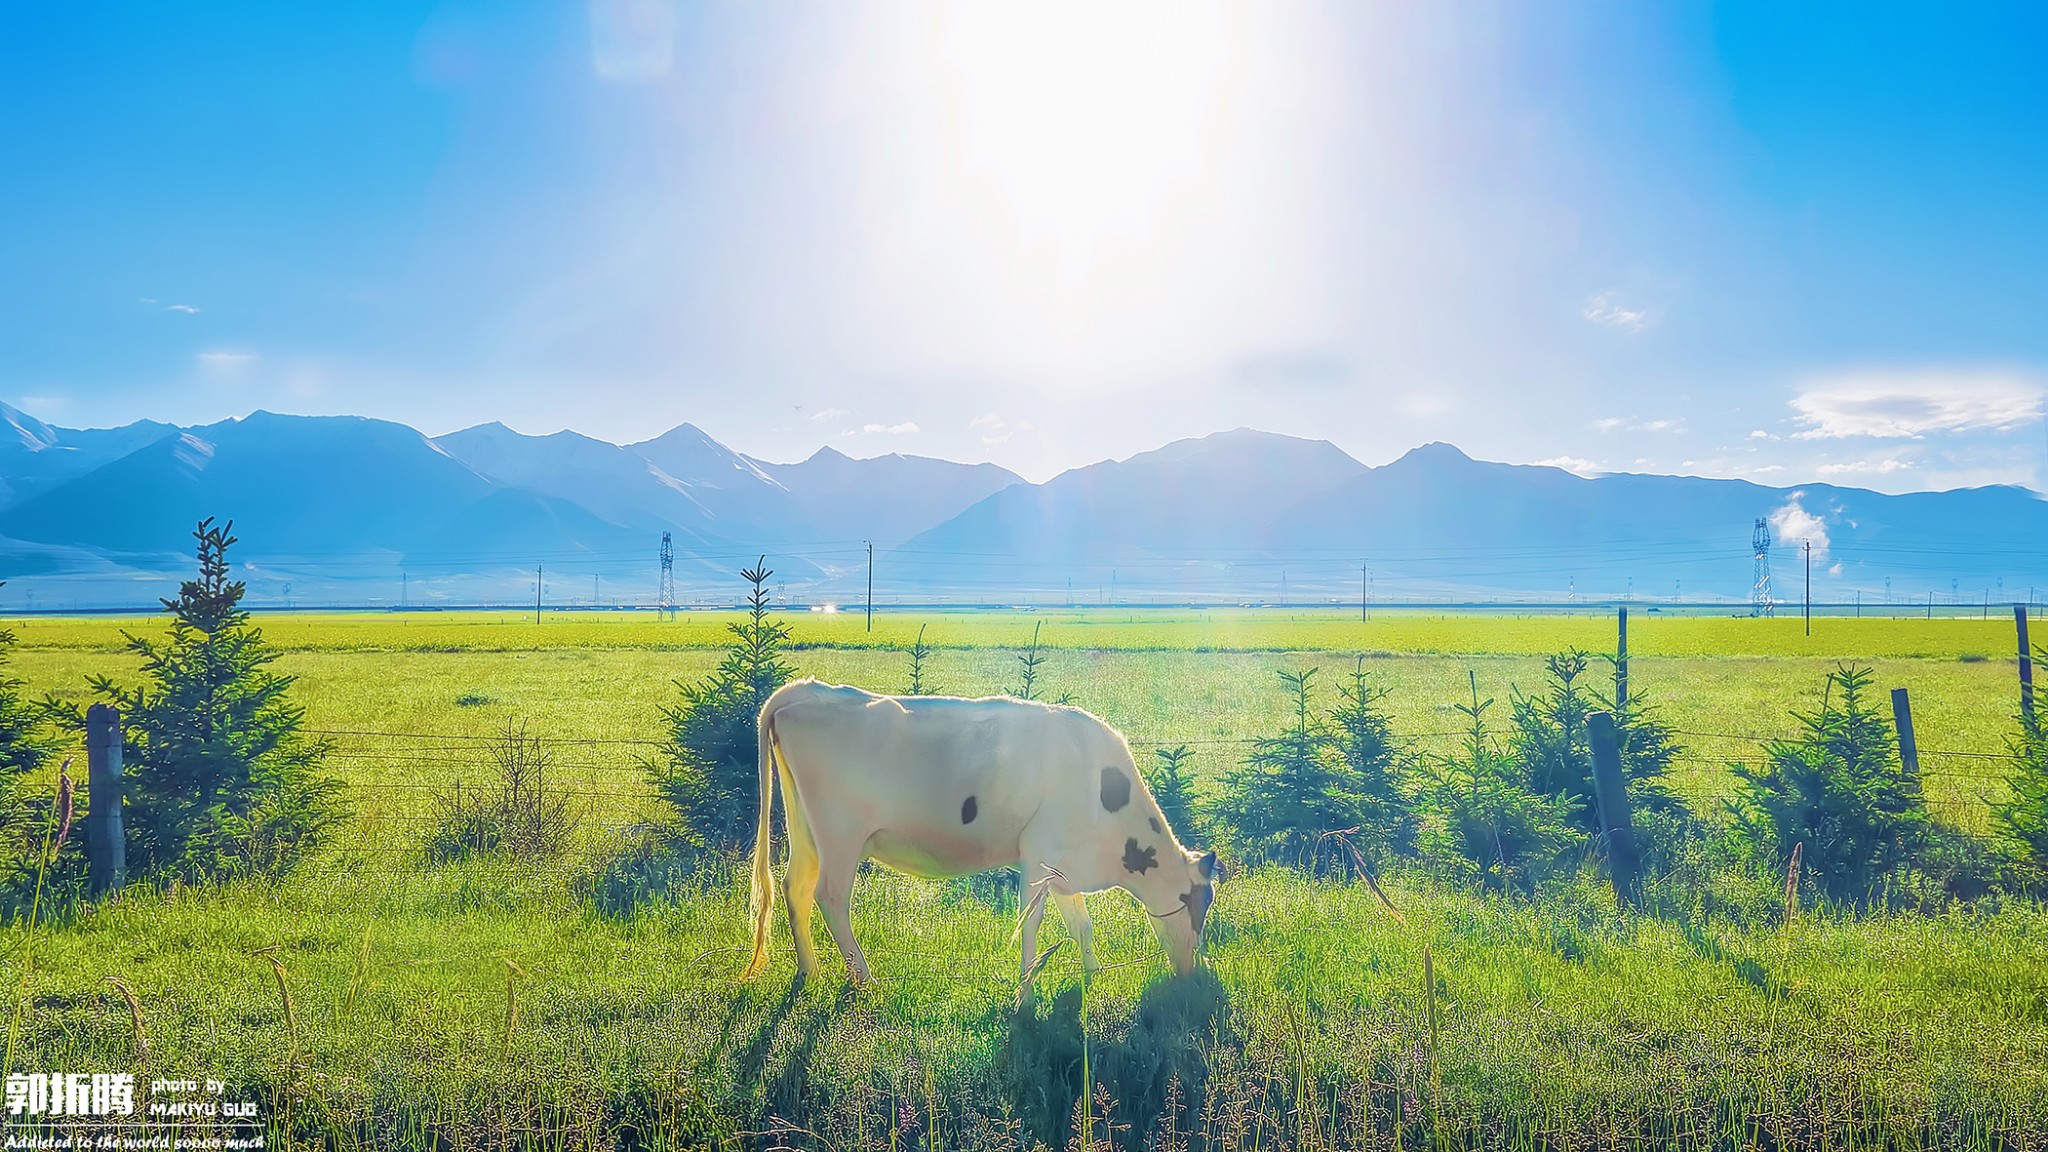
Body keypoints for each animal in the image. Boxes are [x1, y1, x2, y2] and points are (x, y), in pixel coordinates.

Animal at [741, 672, 1212, 988]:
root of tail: (807, 689)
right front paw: (1026, 989)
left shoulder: (1065, 865)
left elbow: (1081, 923)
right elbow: (1031, 923)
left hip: (806, 831)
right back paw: (864, 978)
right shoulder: (1039, 853)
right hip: (840, 834)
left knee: (795, 887)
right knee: (831, 897)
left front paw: (1093, 973)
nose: (1193, 968)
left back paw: (810, 970)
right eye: (1198, 903)